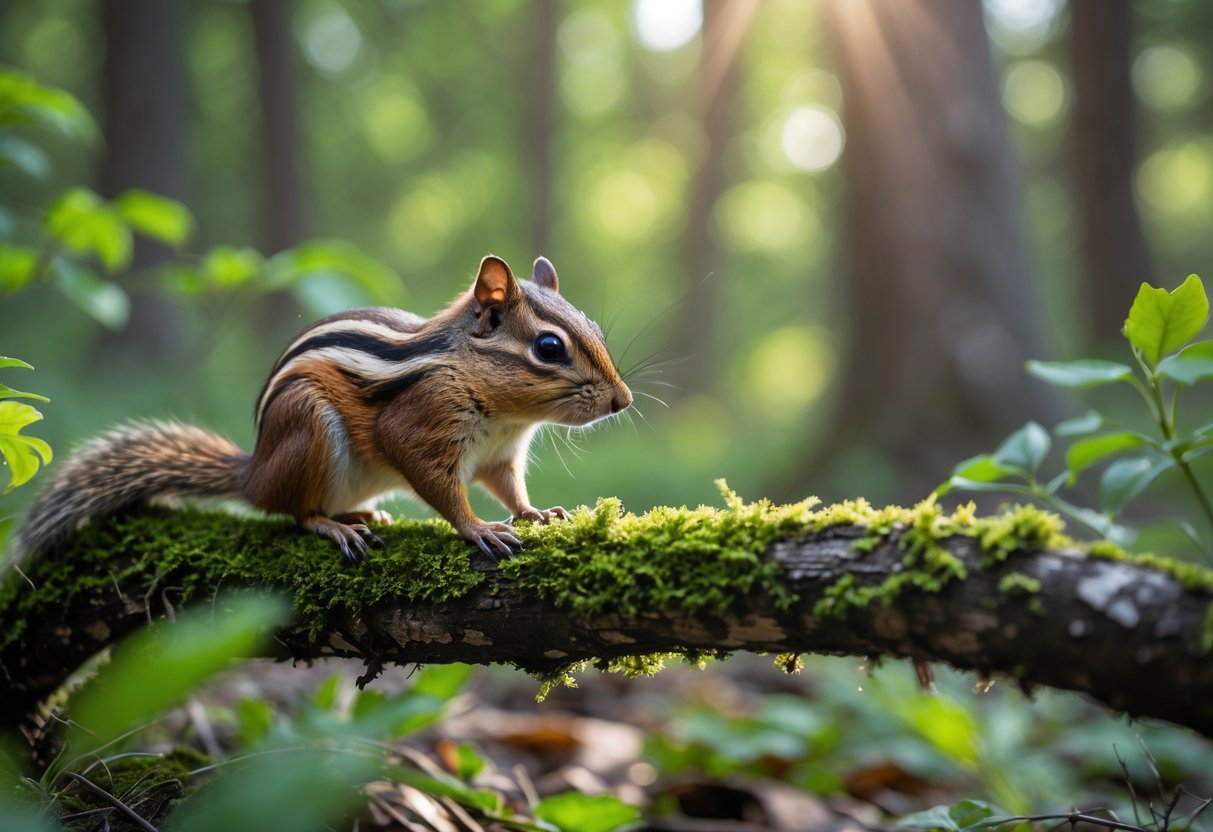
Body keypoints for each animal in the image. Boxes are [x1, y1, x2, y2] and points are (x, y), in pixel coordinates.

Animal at [15, 254, 633, 563]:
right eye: (548, 347)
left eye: (597, 329)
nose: (622, 401)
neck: (507, 415)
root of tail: (253, 472)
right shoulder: (420, 423)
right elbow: (438, 483)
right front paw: (478, 527)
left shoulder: (501, 455)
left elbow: (507, 485)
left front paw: (535, 513)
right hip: (308, 427)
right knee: (293, 512)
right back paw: (333, 527)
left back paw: (362, 515)